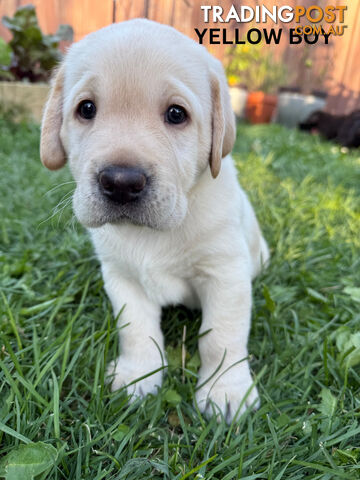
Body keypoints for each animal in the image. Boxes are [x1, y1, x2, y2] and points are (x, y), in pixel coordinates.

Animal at [40, 18, 268, 422]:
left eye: (176, 114)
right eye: (86, 109)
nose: (120, 182)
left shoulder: (226, 275)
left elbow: (221, 337)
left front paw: (226, 391)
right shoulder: (121, 278)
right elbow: (136, 329)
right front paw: (137, 375)